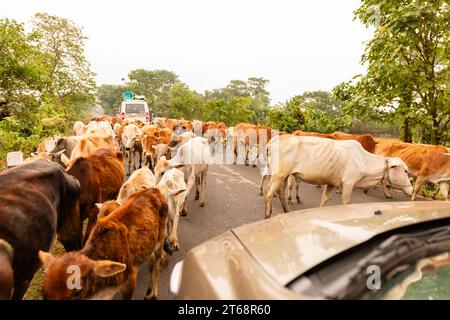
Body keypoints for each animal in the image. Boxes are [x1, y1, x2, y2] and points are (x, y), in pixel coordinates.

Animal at [38, 188, 169, 300]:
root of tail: (154, 190)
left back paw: (152, 293)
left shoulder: (130, 279)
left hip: (160, 241)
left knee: (157, 265)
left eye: (77, 291)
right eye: (43, 290)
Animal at [264, 134, 414, 219]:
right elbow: (346, 202)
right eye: (405, 171)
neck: (363, 159)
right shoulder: (348, 183)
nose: (411, 190)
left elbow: (324, 200)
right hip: (279, 175)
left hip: (284, 176)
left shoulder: (331, 184)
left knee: (280, 193)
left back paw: (286, 212)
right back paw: (267, 215)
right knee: (269, 193)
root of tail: (273, 141)